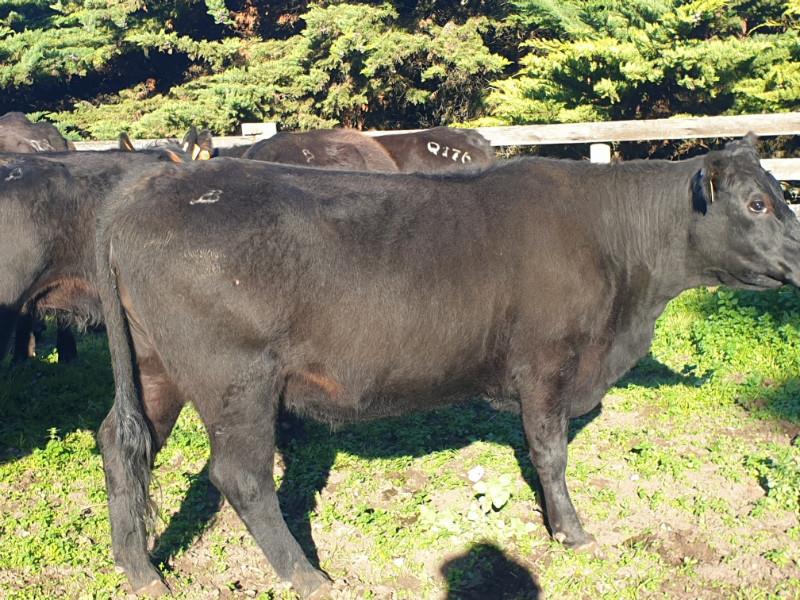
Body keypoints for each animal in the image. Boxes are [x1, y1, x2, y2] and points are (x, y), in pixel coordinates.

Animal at [94, 135, 800, 598]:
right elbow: (550, 452)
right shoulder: (547, 363)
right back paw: (308, 576)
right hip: (236, 381)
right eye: (756, 205)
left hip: (156, 371)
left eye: (779, 195)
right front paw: (571, 532)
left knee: (122, 447)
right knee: (240, 476)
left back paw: (142, 573)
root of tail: (147, 190)